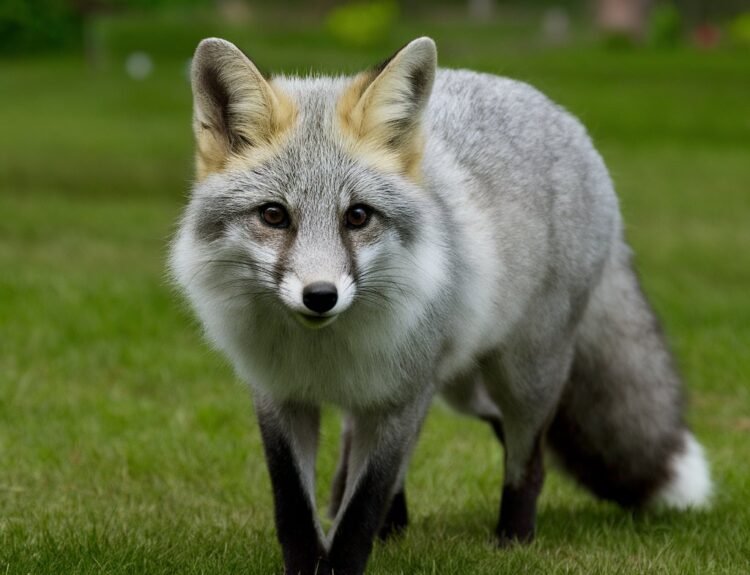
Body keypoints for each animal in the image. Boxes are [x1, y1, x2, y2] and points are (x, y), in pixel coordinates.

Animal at [170, 36, 713, 575]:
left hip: (516, 376)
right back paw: (397, 527)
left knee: (529, 458)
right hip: (450, 387)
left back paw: (513, 541)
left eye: (358, 216)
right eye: (274, 216)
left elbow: (361, 509)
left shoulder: (401, 397)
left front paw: (346, 558)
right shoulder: (280, 397)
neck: (322, 354)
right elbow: (297, 512)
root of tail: (559, 113)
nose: (320, 296)